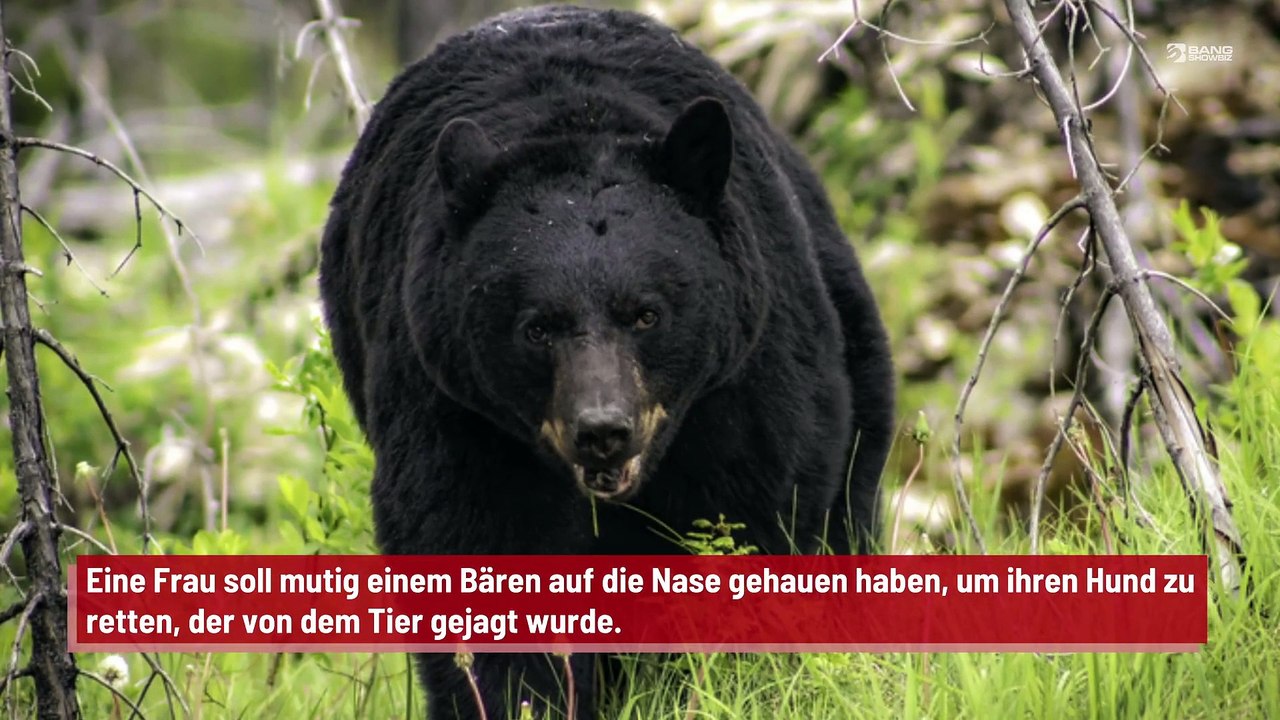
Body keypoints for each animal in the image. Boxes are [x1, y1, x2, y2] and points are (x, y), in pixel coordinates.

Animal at [318, 5, 895, 718]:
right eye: (537, 328)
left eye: (646, 313)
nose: (602, 430)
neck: (575, 121)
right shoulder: (450, 399)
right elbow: (479, 545)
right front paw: (527, 697)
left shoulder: (744, 380)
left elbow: (750, 519)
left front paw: (717, 684)